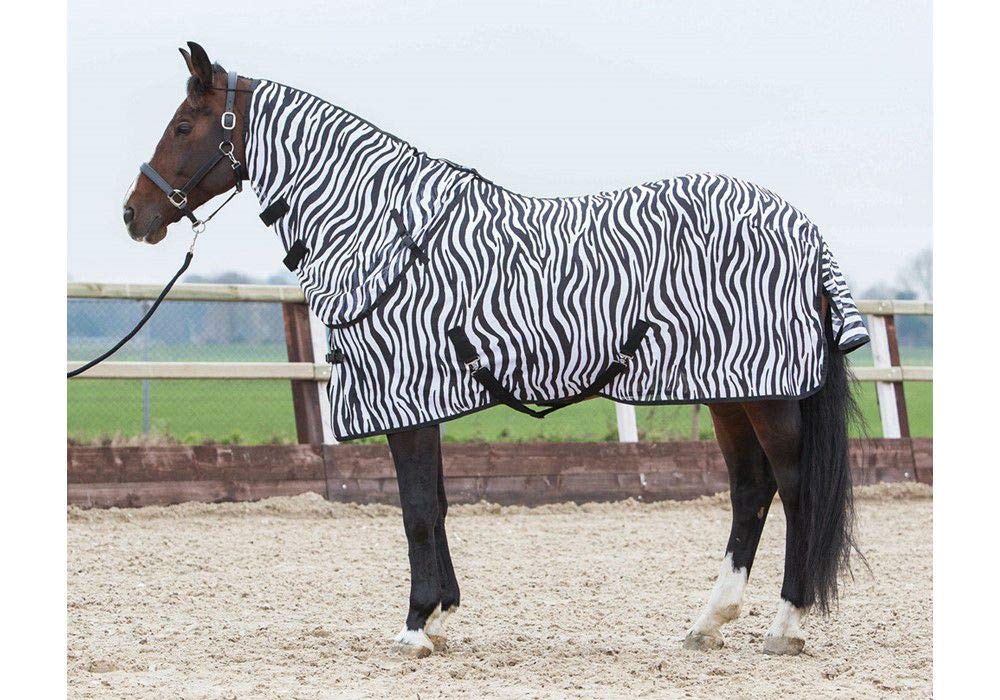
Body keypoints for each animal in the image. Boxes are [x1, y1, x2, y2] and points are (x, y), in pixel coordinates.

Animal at [124, 42, 869, 658]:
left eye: (184, 127)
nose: (134, 215)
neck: (383, 230)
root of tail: (804, 229)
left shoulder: (406, 396)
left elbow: (417, 509)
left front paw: (415, 626)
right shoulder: (419, 400)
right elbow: (437, 503)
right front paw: (442, 614)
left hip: (768, 396)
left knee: (795, 489)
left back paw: (786, 625)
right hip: (728, 392)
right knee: (750, 491)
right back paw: (708, 622)